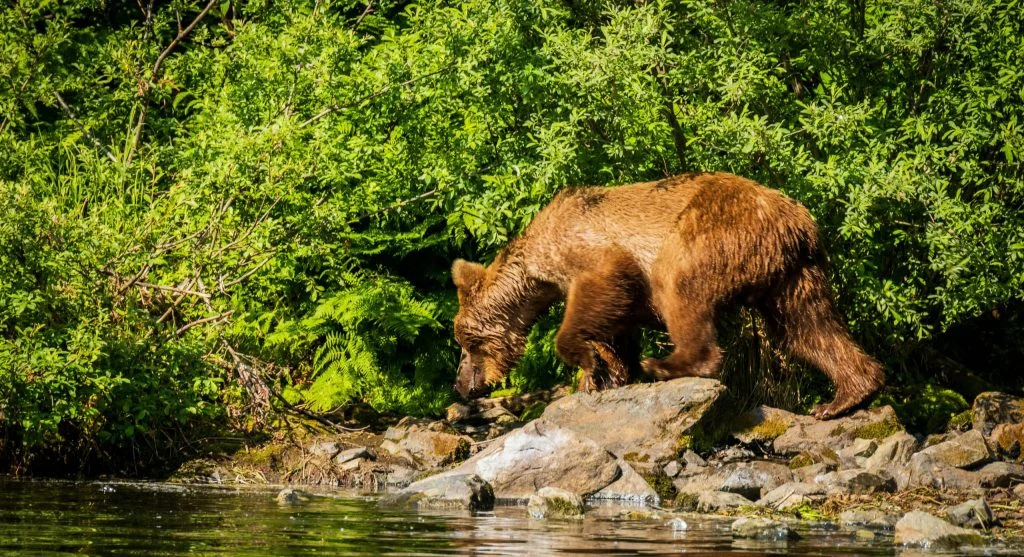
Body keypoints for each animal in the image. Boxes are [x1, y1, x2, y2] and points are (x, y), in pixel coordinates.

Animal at [451, 172, 884, 419]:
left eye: (466, 343)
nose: (462, 386)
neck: (534, 271)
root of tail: (797, 220)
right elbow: (618, 323)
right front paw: (605, 371)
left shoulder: (588, 249)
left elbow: (601, 287)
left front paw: (591, 361)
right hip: (792, 275)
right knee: (809, 328)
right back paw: (845, 396)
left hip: (711, 230)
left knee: (678, 287)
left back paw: (666, 364)